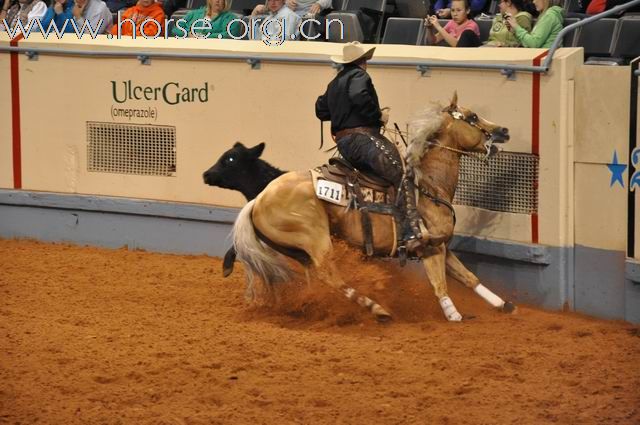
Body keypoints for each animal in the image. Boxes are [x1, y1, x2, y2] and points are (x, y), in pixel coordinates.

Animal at [230, 94, 516, 322]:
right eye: (473, 116)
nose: (504, 130)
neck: (429, 186)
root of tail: (259, 199)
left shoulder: (443, 245)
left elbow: (468, 277)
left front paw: (505, 305)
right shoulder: (430, 248)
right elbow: (440, 285)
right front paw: (454, 315)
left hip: (300, 251)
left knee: (318, 278)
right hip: (316, 239)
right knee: (329, 275)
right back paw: (377, 309)